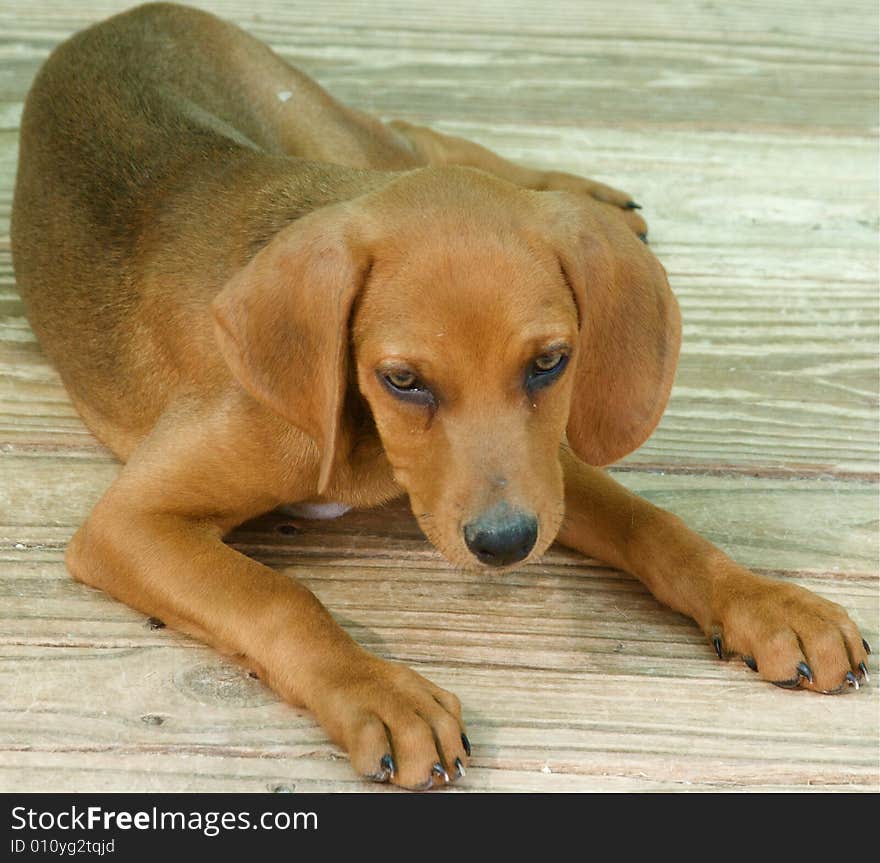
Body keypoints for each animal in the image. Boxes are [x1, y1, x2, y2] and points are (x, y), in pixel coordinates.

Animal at [10, 3, 868, 792]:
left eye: (550, 362)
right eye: (403, 379)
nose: (505, 544)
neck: (363, 438)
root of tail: (127, 17)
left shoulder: (539, 472)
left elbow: (653, 523)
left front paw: (764, 599)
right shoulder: (128, 522)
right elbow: (277, 595)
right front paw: (379, 691)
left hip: (330, 132)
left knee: (417, 134)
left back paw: (581, 193)